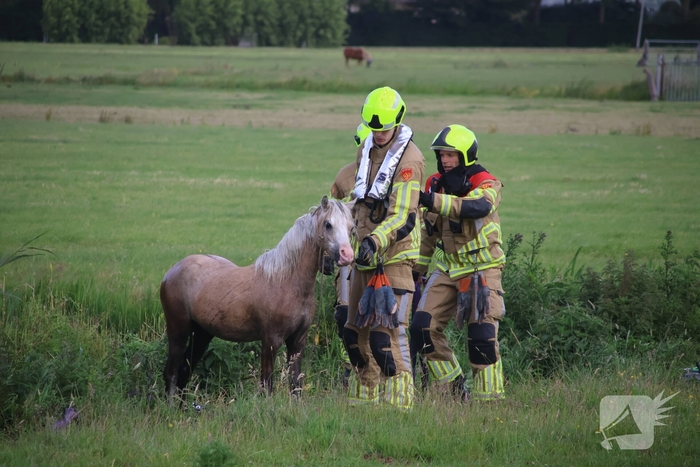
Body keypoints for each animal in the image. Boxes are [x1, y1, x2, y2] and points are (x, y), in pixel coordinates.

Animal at [160, 196, 355, 402]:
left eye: (351, 227)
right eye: (328, 224)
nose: (347, 255)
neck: (285, 281)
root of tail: (171, 271)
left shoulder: (298, 341)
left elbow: (296, 385)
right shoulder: (270, 341)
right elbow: (266, 385)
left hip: (202, 334)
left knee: (184, 371)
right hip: (178, 331)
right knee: (171, 373)